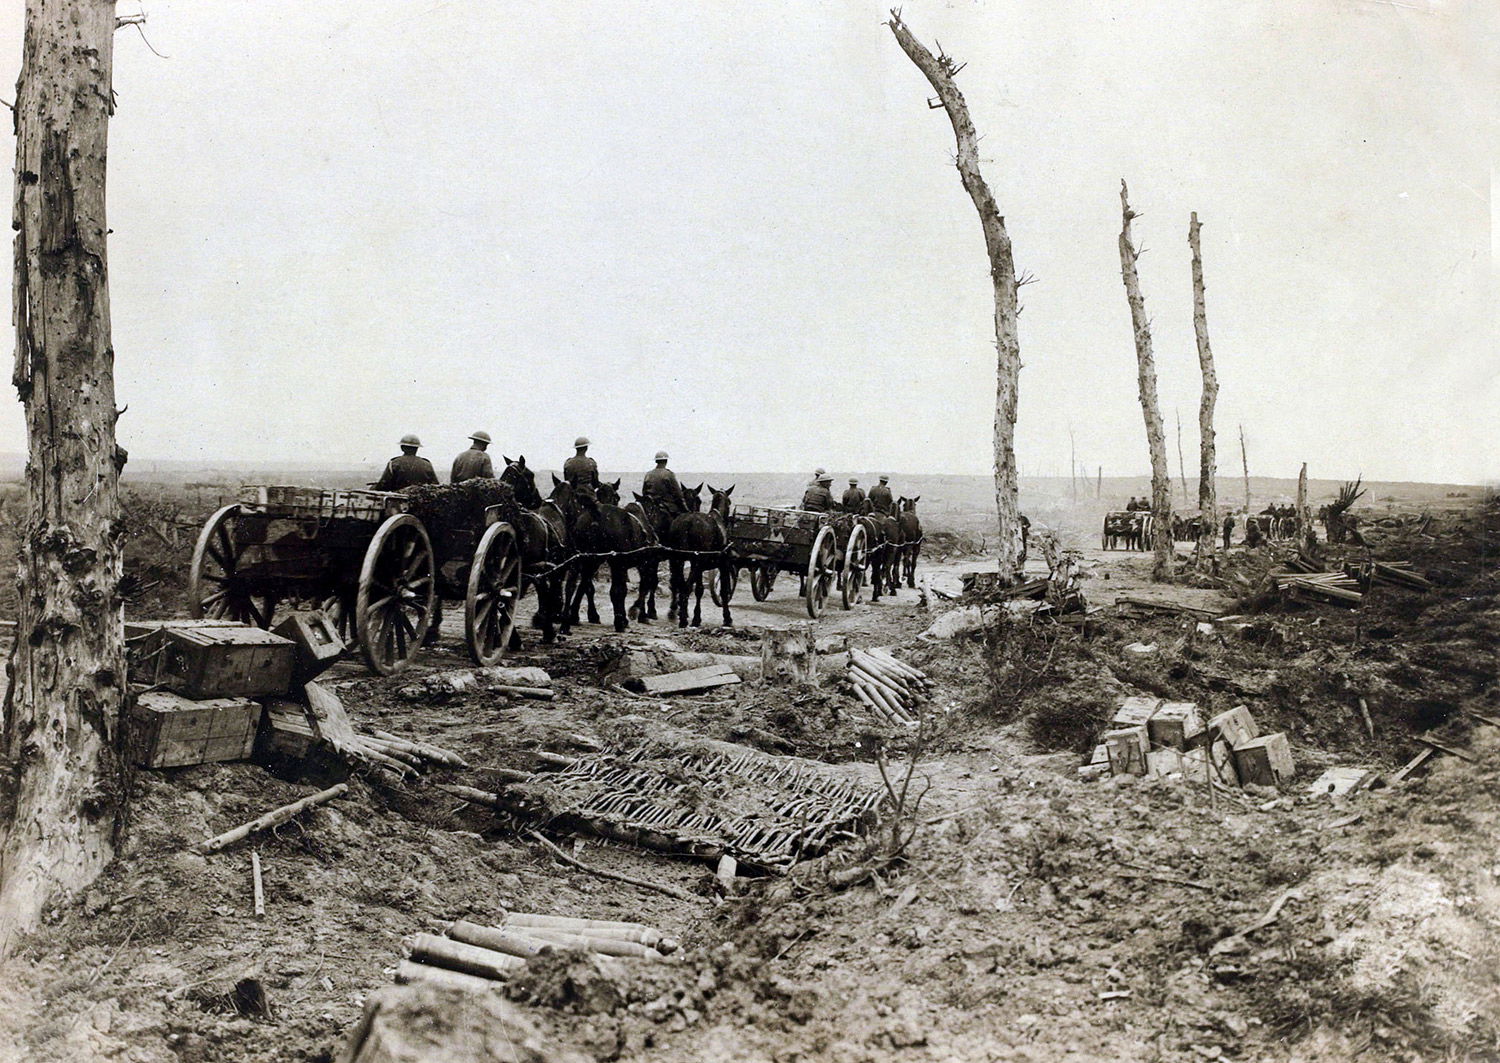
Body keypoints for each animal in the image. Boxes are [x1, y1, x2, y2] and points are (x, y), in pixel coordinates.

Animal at [672, 485, 735, 626]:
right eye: (729, 502)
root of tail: (686, 523)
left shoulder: (700, 567)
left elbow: (699, 590)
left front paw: (696, 617)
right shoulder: (724, 564)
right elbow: (724, 591)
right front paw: (727, 617)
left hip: (679, 560)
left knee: (679, 585)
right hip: (696, 563)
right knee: (686, 588)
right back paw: (683, 618)